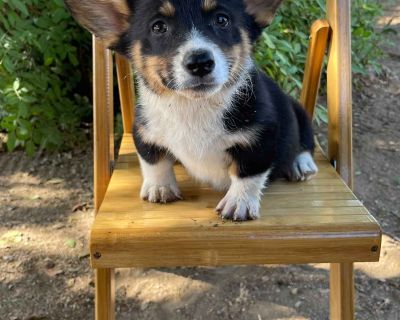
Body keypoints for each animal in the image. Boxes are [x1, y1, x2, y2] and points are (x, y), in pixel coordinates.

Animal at [65, 0, 318, 220]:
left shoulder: (261, 138)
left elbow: (248, 173)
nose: (200, 63)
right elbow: (153, 160)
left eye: (222, 20)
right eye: (158, 27)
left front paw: (239, 203)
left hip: (298, 111)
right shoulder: (144, 131)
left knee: (306, 141)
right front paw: (160, 187)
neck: (192, 106)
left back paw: (300, 164)